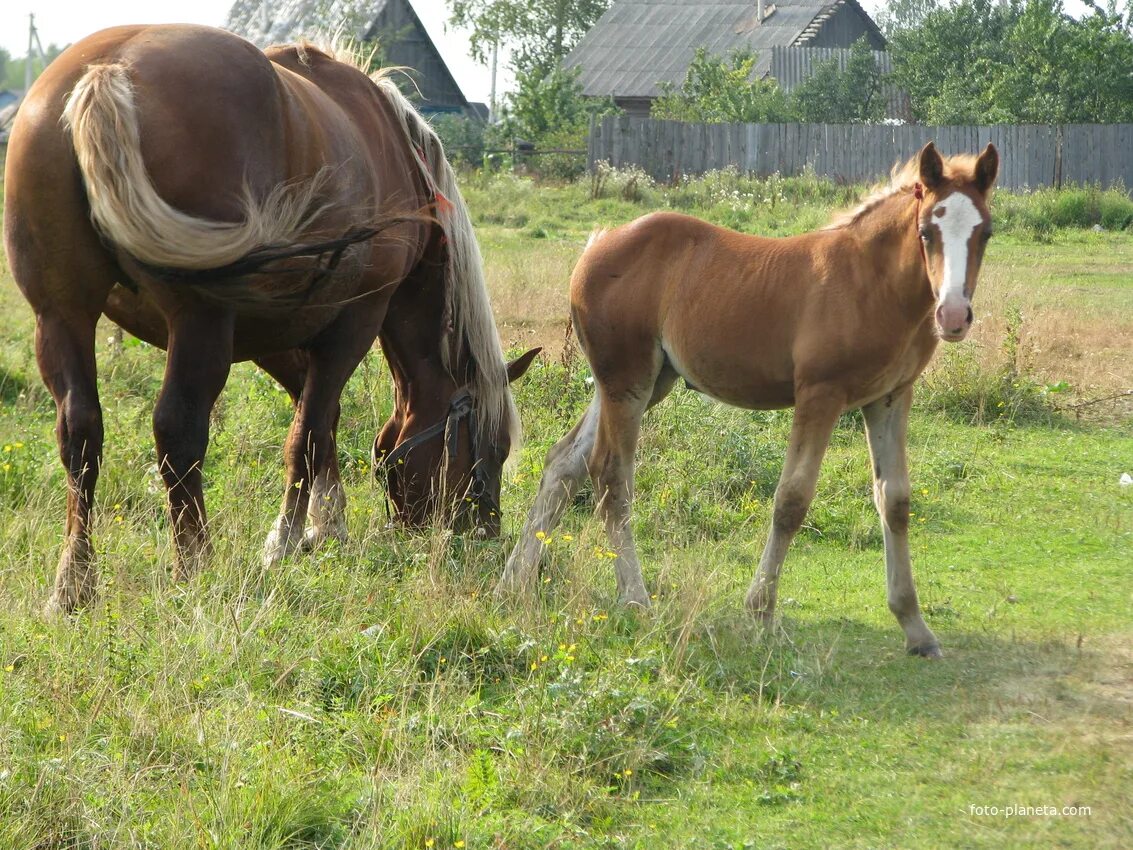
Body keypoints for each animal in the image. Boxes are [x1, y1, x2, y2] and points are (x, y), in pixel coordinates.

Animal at [4, 23, 534, 616]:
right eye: (492, 448)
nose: (483, 532)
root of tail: (108, 70)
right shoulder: (352, 323)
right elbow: (308, 432)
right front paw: (288, 538)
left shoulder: (273, 334)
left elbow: (321, 420)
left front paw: (327, 525)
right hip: (201, 322)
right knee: (178, 432)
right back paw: (195, 565)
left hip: (62, 315)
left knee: (81, 436)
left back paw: (74, 582)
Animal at [500, 143, 997, 657]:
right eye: (926, 231)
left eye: (986, 232)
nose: (953, 315)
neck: (870, 284)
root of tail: (596, 244)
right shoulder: (820, 394)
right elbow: (792, 499)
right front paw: (760, 612)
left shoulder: (890, 397)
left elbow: (894, 500)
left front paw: (914, 626)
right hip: (628, 380)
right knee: (611, 476)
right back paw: (635, 599)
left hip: (637, 383)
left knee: (564, 463)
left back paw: (513, 582)